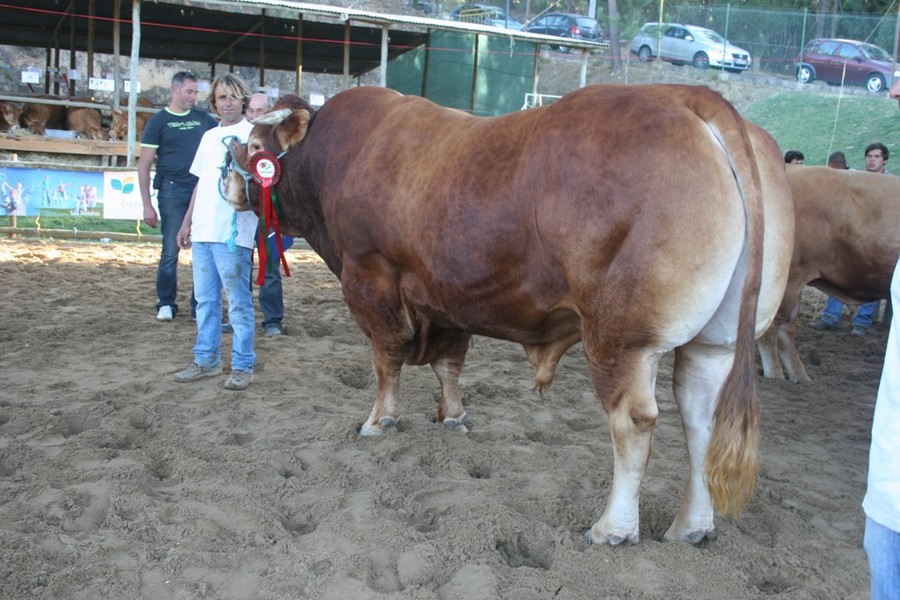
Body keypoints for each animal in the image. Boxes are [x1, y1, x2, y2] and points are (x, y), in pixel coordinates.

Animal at [222, 85, 794, 546]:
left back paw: (612, 528)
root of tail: (690, 97)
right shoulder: (445, 297)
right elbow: (449, 362)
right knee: (701, 419)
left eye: (257, 147)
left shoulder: (370, 276)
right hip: (716, 341)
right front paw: (453, 417)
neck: (337, 157)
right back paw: (690, 526)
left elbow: (386, 359)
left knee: (634, 423)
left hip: (621, 337)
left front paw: (378, 420)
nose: (226, 176)